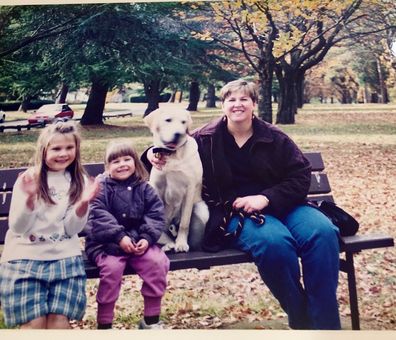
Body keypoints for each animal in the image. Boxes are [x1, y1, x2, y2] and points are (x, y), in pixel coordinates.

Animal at [144, 108, 209, 252]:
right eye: (168, 120)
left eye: (183, 122)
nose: (178, 133)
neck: (172, 155)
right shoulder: (156, 186)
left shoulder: (189, 189)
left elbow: (185, 222)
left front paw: (181, 243)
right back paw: (167, 244)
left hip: (202, 209)